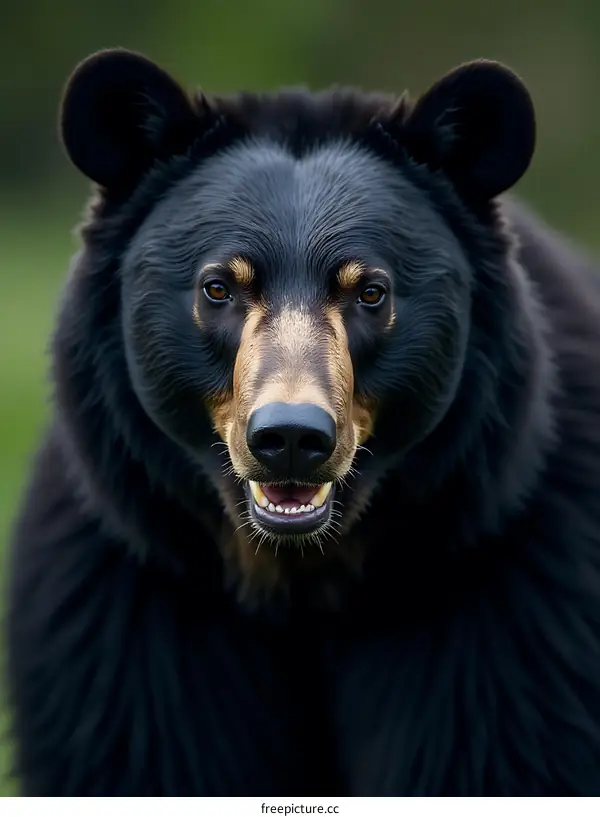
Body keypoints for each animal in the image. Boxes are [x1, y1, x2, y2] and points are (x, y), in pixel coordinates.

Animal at [6, 46, 600, 796]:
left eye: (371, 292)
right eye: (218, 287)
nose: (290, 438)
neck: (297, 575)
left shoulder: (513, 602)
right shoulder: (132, 606)